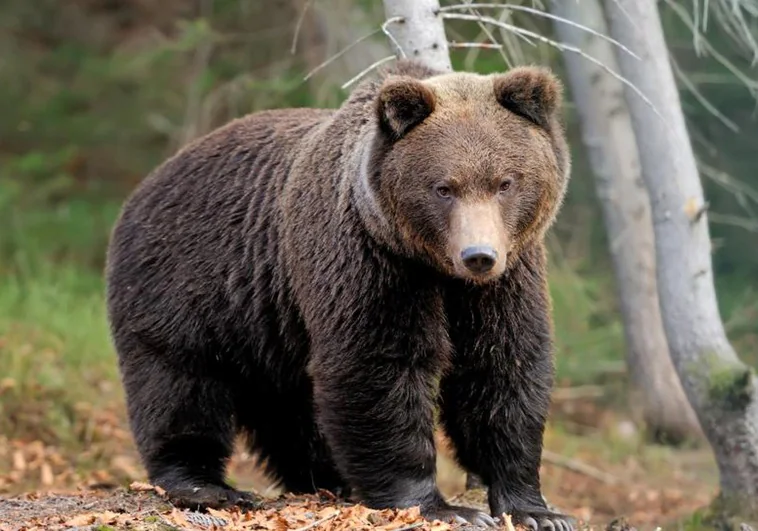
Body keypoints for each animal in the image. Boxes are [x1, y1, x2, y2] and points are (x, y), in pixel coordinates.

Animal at [104, 58, 572, 531]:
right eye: (444, 187)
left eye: (505, 183)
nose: (479, 255)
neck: (435, 268)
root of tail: (146, 185)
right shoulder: (367, 258)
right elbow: (377, 365)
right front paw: (444, 506)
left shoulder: (508, 278)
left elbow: (503, 368)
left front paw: (536, 509)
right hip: (185, 284)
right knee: (180, 383)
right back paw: (205, 484)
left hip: (270, 320)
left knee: (290, 408)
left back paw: (326, 479)